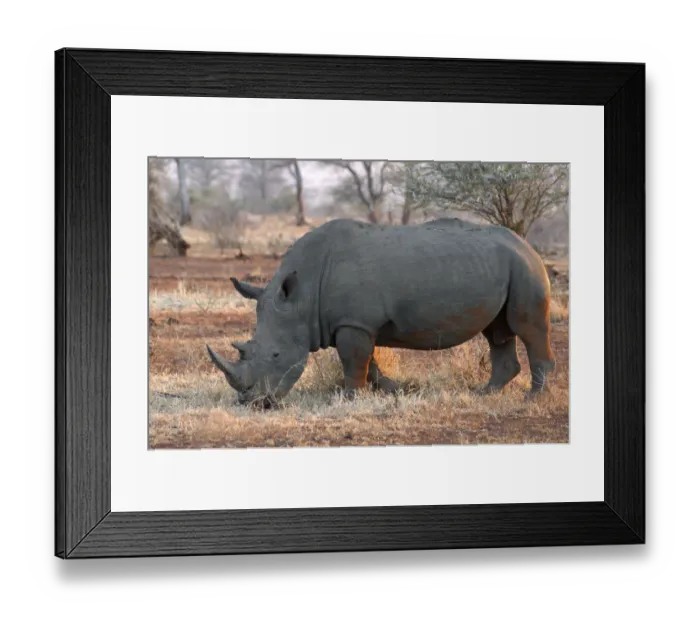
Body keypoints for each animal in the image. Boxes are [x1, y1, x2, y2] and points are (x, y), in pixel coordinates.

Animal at [206, 218, 556, 407]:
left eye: (276, 355)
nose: (254, 403)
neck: (301, 298)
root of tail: (528, 245)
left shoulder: (355, 323)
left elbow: (354, 361)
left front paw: (348, 399)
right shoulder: (356, 323)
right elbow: (368, 362)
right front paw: (395, 390)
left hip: (525, 267)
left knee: (527, 327)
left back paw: (533, 398)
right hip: (504, 265)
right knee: (497, 332)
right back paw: (485, 394)